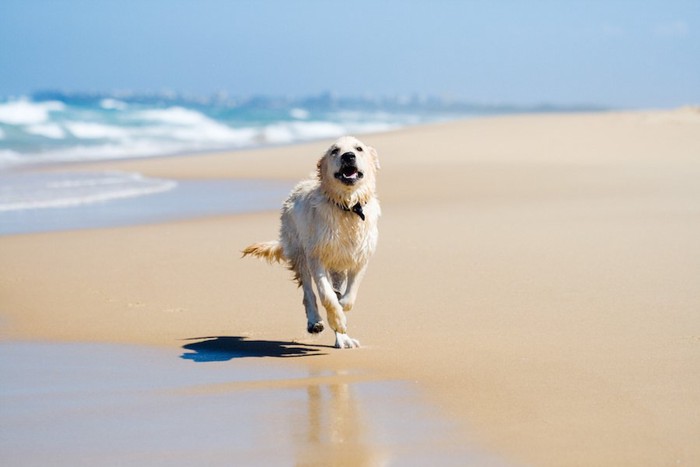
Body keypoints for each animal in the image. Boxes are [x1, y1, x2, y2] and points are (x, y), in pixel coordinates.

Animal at [242, 135, 382, 348]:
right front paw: (337, 319)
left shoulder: (360, 256)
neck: (347, 206)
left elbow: (349, 296)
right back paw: (315, 321)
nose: (348, 156)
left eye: (359, 148)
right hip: (299, 251)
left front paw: (342, 314)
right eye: (335, 151)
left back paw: (343, 339)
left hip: (336, 267)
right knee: (308, 292)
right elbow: (327, 296)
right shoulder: (317, 256)